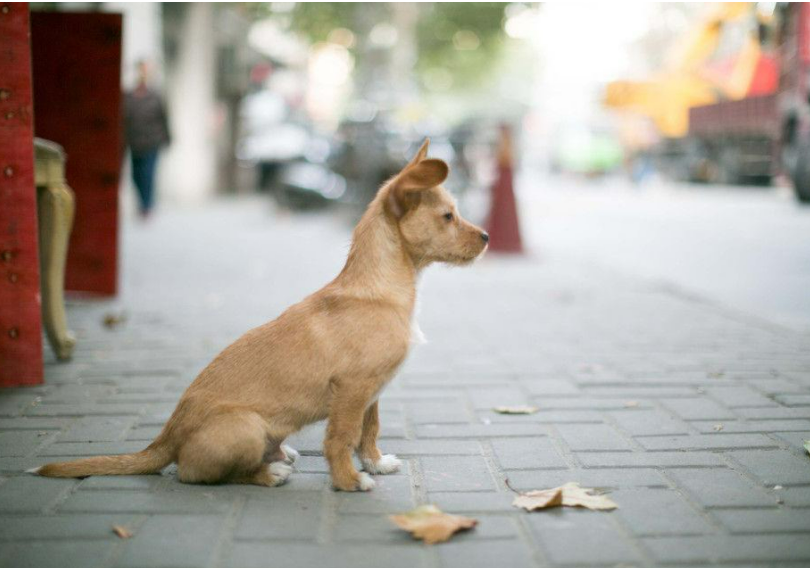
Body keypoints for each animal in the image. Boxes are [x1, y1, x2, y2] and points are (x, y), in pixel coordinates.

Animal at [33, 140, 486, 490]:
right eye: (448, 216)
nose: (485, 237)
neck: (380, 288)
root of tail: (166, 437)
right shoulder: (353, 389)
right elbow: (341, 438)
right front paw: (348, 481)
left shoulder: (372, 392)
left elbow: (368, 431)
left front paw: (375, 463)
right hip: (245, 427)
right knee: (196, 473)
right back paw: (268, 475)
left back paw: (280, 456)